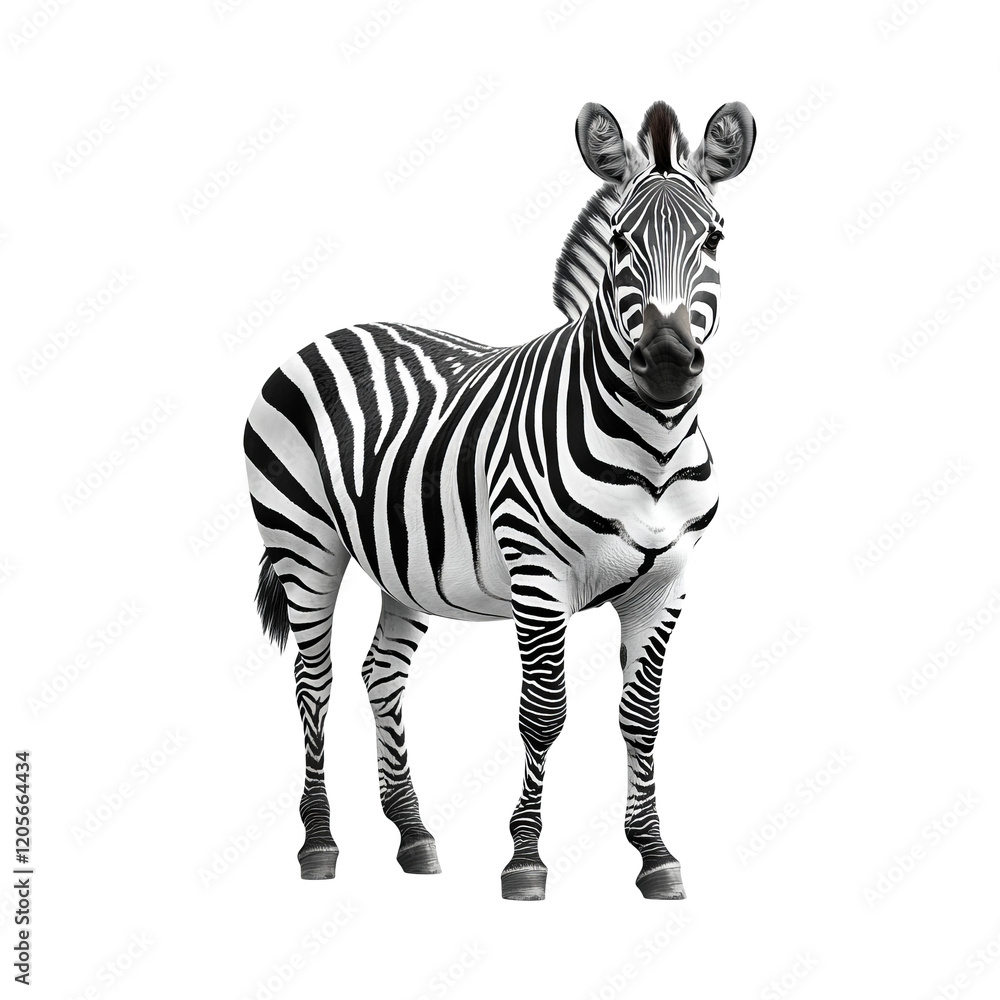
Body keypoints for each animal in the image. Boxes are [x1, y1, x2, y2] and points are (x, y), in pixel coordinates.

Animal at [244, 99, 756, 900]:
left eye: (714, 238)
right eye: (620, 240)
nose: (669, 365)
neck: (653, 444)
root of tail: (336, 331)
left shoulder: (668, 584)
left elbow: (641, 718)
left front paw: (654, 853)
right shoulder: (537, 573)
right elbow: (544, 714)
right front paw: (525, 858)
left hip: (402, 564)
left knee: (379, 673)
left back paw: (414, 834)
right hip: (302, 543)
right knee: (313, 681)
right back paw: (320, 843)